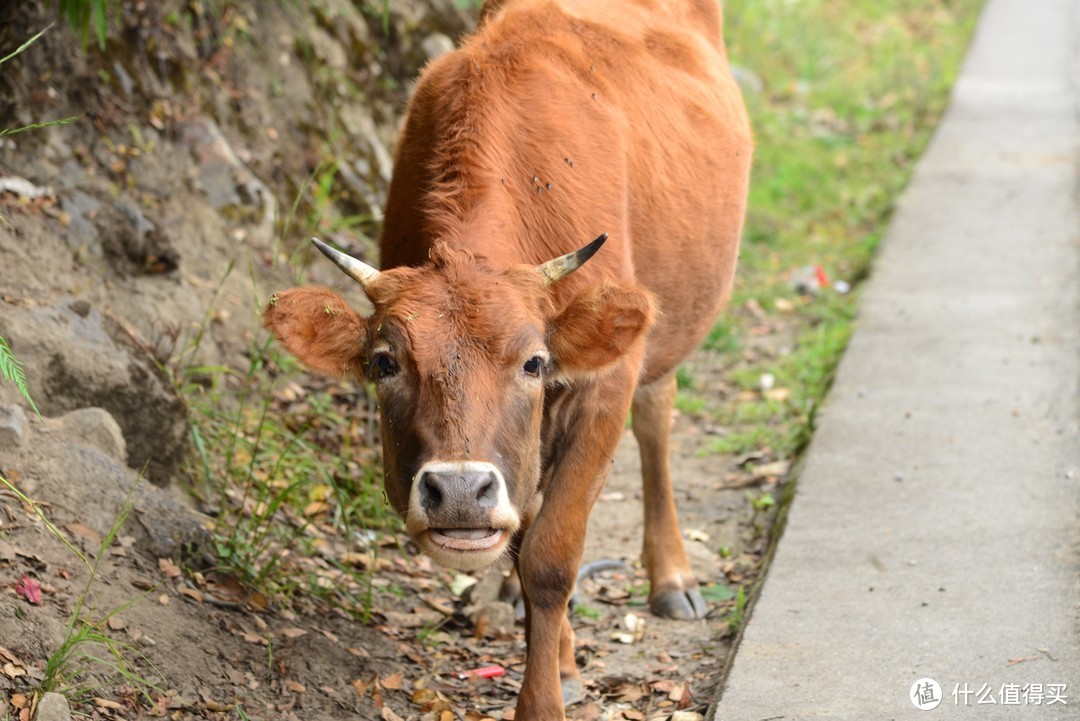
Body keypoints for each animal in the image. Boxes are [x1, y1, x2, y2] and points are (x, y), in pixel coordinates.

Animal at [262, 0, 751, 716]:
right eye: (384, 364)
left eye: (534, 363)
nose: (461, 493)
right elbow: (528, 532)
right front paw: (559, 657)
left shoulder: (603, 384)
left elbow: (551, 556)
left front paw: (545, 696)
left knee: (655, 419)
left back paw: (671, 577)